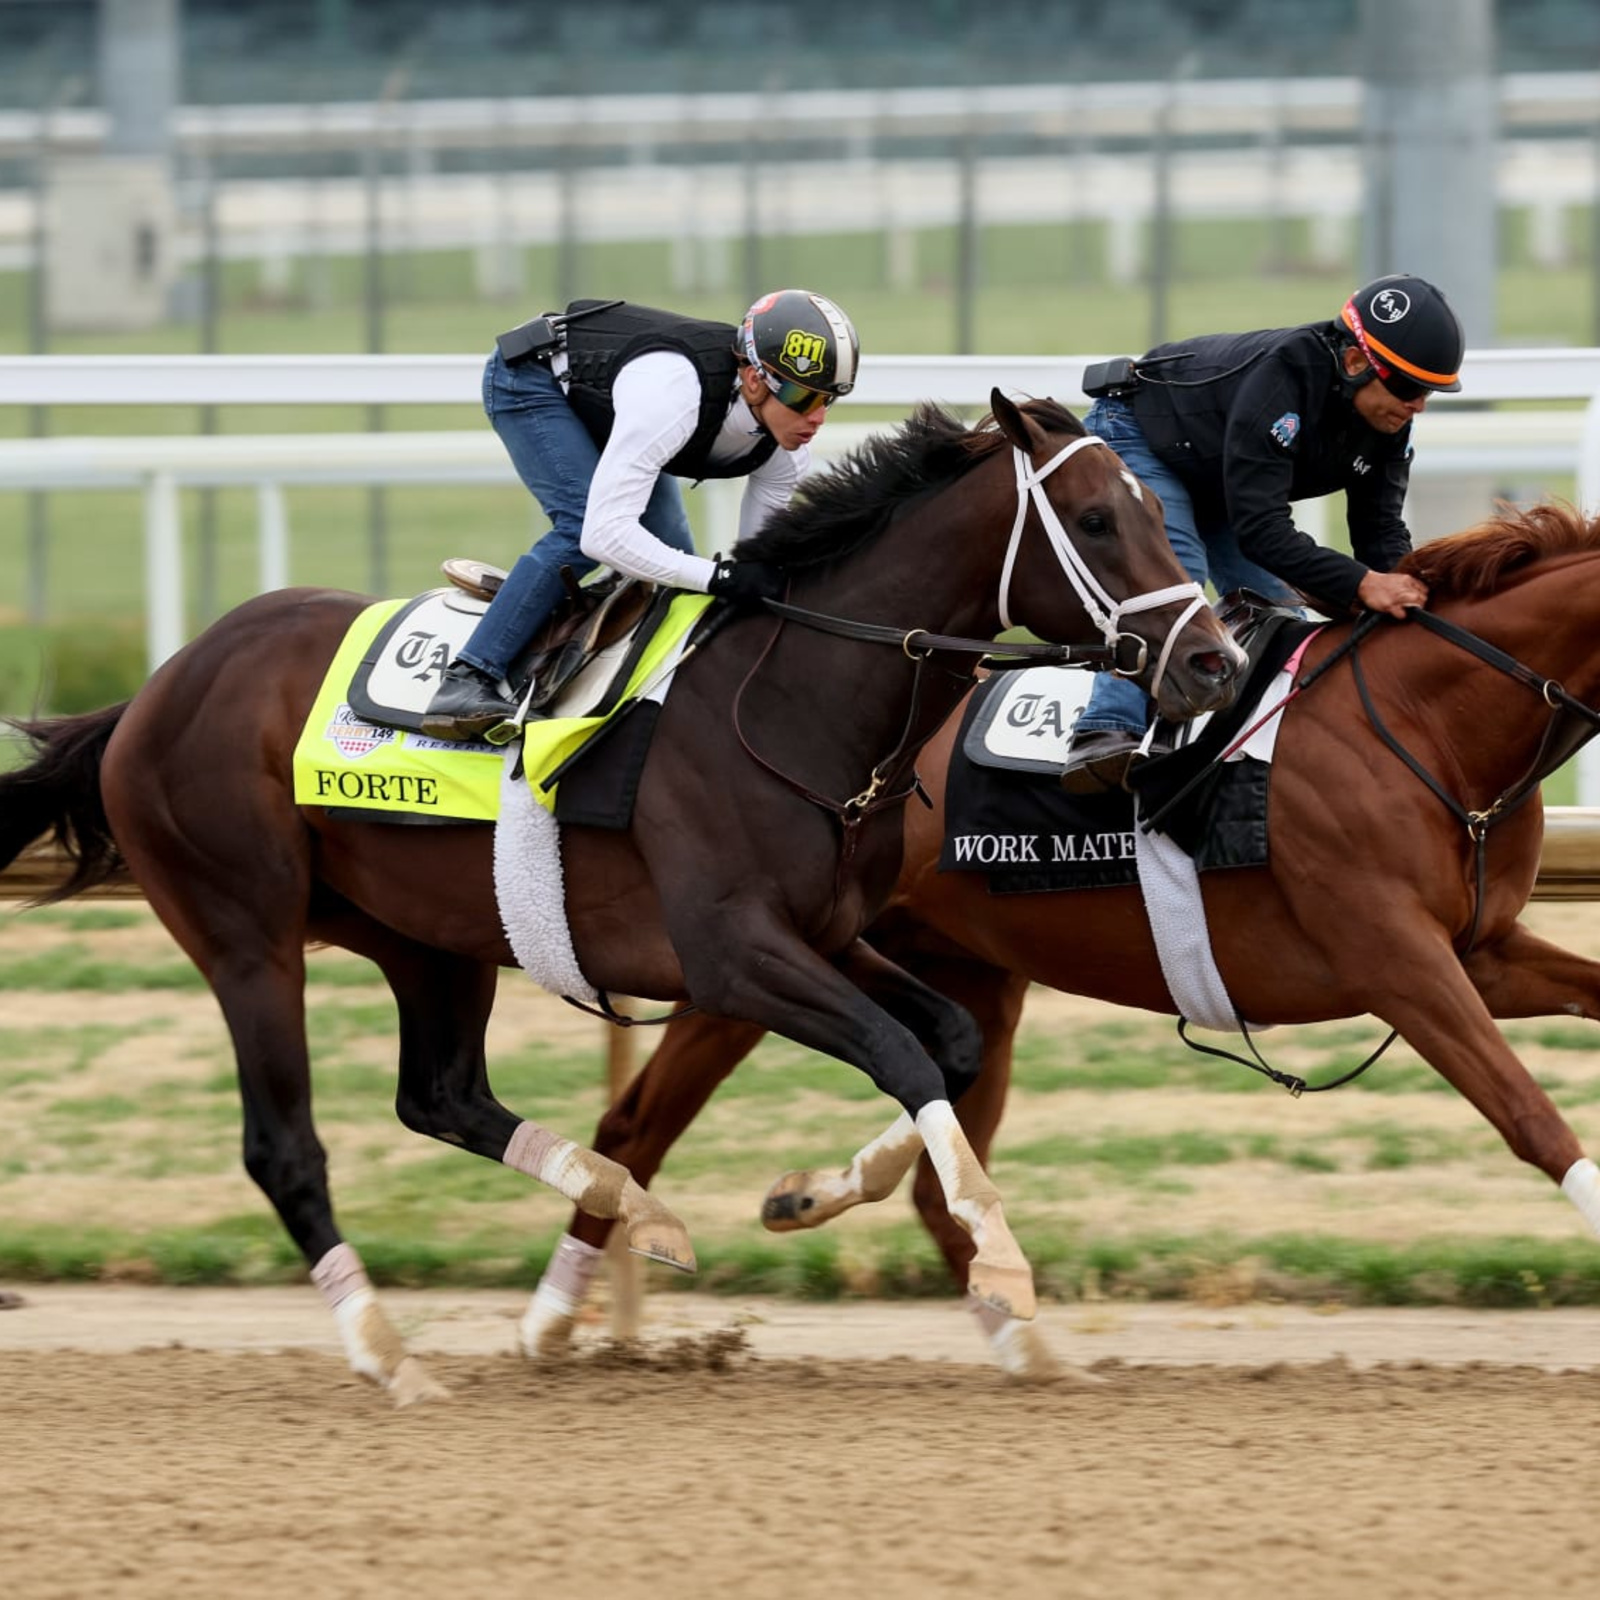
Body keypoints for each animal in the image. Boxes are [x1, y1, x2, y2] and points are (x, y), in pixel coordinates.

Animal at [0, 390, 1235, 1401]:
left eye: (1154, 505)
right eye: (1094, 518)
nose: (1214, 662)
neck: (789, 700)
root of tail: (154, 690)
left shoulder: (828, 935)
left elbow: (950, 1045)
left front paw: (825, 1193)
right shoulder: (735, 956)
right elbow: (905, 1055)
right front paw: (1003, 1260)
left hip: (426, 938)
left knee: (443, 1097)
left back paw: (636, 1213)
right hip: (247, 936)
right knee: (285, 1148)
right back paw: (391, 1356)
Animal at [531, 502, 1600, 1376]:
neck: (1429, 722)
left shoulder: (1480, 954)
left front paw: (817, 1189)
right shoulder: (1397, 962)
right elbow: (1527, 1113)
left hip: (961, 965)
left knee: (935, 1148)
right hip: (757, 956)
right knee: (638, 1124)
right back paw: (552, 1321)